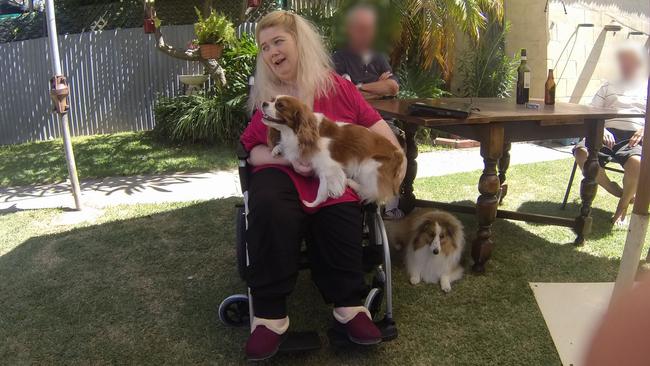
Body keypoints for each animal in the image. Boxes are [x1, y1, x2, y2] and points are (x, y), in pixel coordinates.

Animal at [260, 96, 402, 207]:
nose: (264, 103)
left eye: (280, 105)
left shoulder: (329, 167)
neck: (296, 133)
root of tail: (398, 153)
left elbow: (322, 190)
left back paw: (351, 183)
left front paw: (312, 203)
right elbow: (322, 188)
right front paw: (277, 148)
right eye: (272, 100)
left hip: (369, 166)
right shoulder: (322, 168)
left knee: (373, 192)